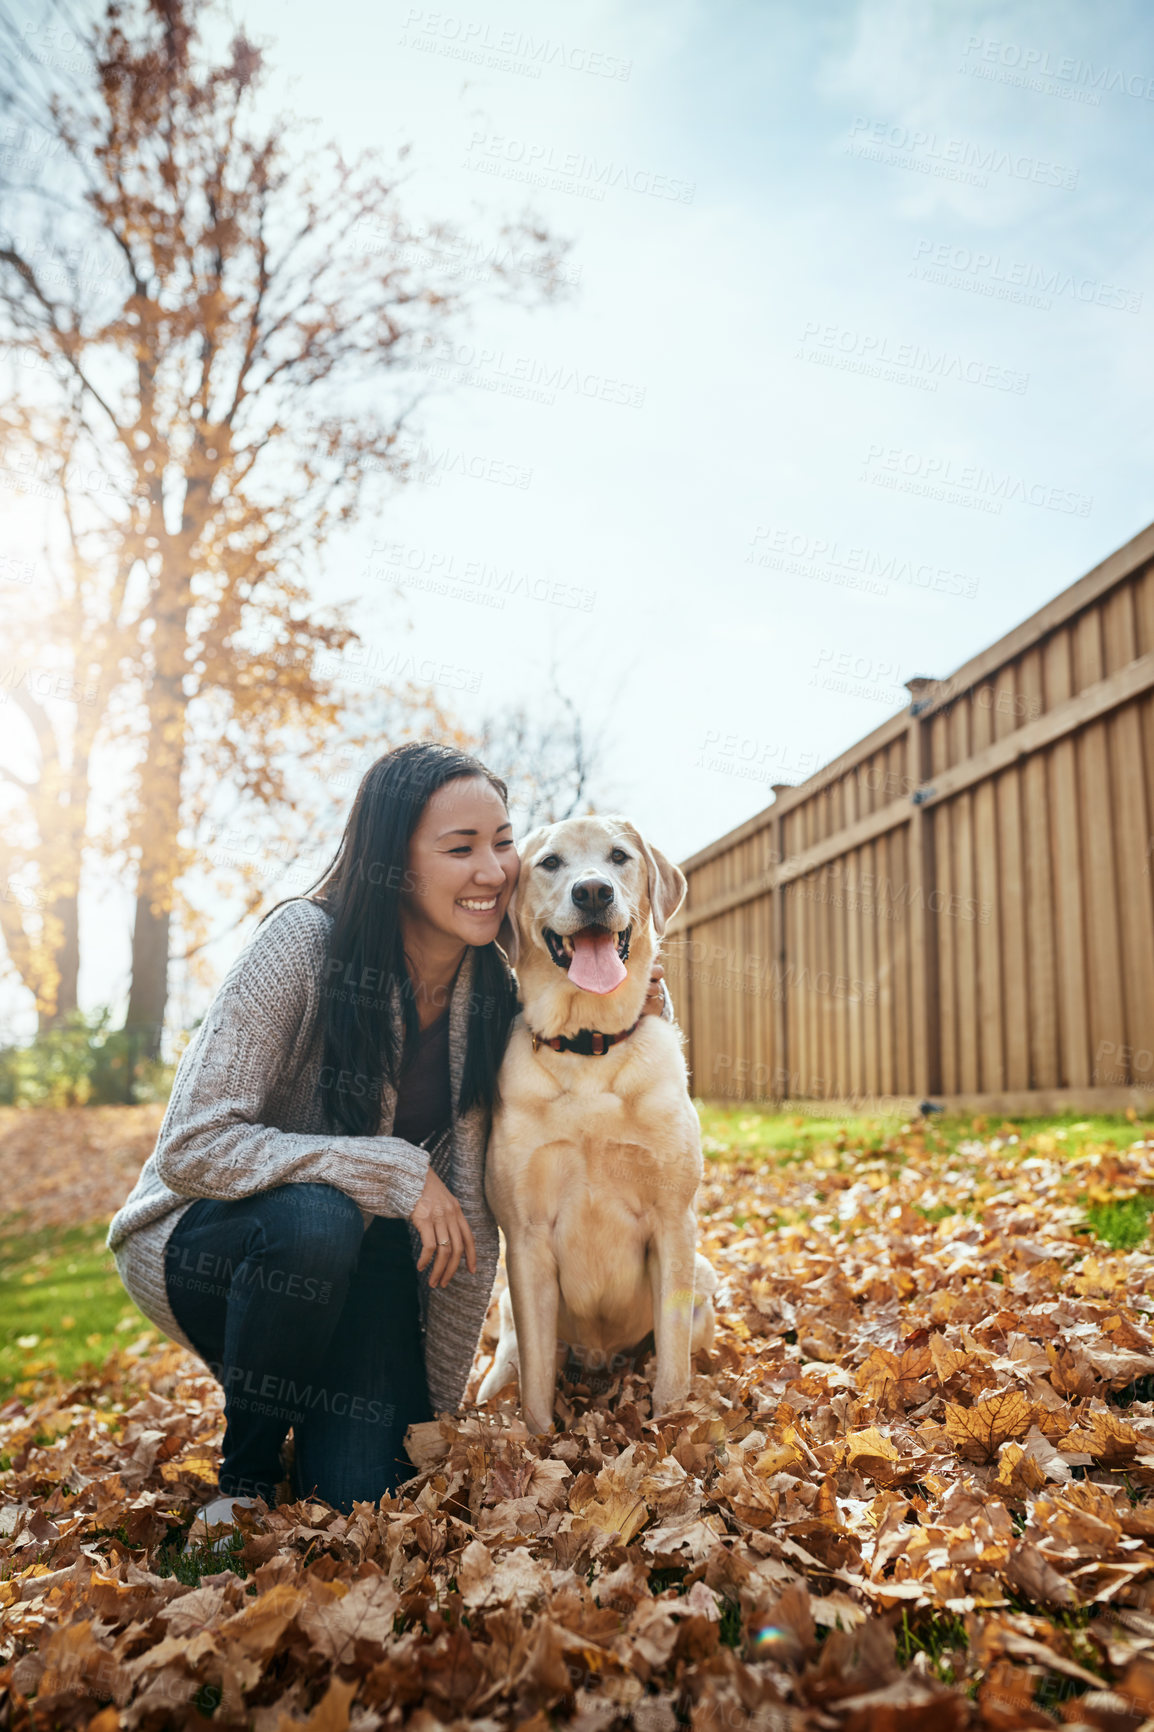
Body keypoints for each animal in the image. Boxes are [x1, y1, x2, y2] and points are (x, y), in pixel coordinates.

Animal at [474, 814, 710, 1434]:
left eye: (619, 856)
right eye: (550, 863)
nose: (594, 892)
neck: (588, 1048)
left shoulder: (674, 1221)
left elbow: (673, 1365)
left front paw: (670, 1426)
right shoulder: (526, 1236)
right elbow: (535, 1384)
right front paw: (535, 1440)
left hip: (703, 1276)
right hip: (507, 1316)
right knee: (509, 1364)